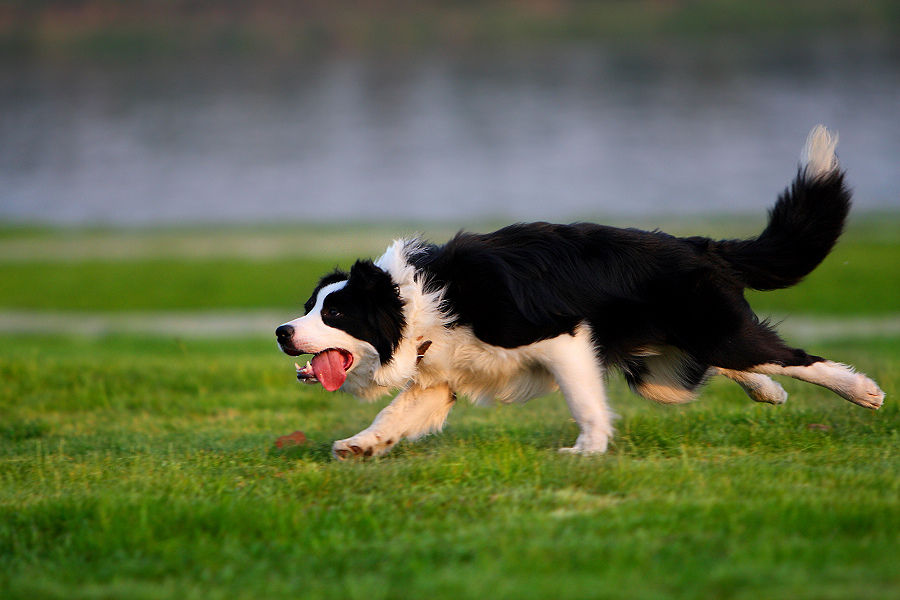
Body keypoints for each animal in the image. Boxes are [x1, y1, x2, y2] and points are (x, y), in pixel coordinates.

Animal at [278, 126, 884, 460]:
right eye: (309, 307)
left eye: (336, 312)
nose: (282, 333)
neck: (415, 304)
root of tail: (701, 246)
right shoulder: (439, 377)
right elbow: (394, 417)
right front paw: (358, 446)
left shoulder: (560, 335)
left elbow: (584, 399)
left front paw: (586, 452)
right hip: (662, 371)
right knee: (721, 365)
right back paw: (767, 391)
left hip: (711, 332)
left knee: (791, 356)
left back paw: (864, 391)